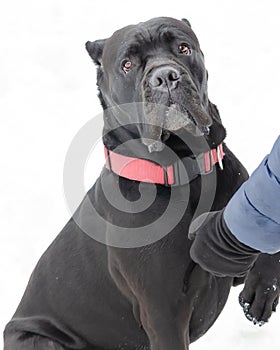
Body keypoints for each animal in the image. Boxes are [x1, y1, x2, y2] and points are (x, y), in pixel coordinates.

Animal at [3, 16, 280, 350]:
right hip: (37, 339)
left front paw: (263, 289)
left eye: (183, 48)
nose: (166, 77)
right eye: (127, 64)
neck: (185, 168)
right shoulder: (163, 311)